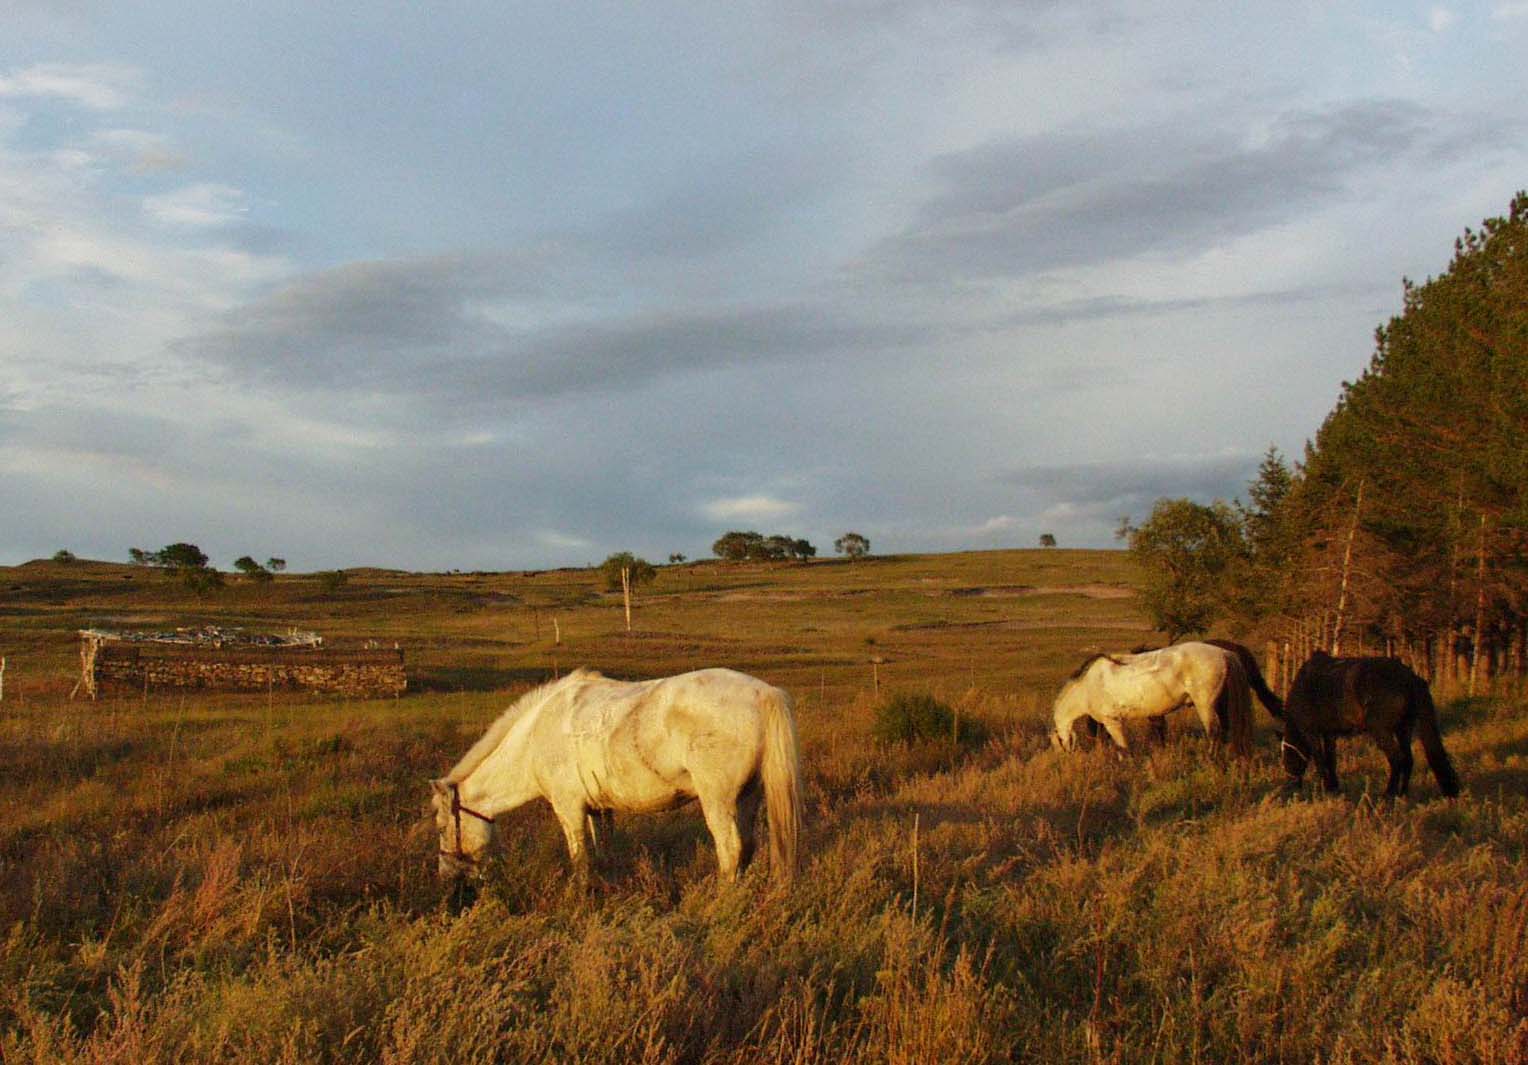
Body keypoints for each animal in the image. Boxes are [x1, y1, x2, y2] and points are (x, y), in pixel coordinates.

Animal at [430, 669, 806, 886]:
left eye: (441, 826)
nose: (446, 876)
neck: (536, 734)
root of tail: (764, 692)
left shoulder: (569, 809)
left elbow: (580, 861)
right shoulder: (599, 809)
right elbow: (603, 852)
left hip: (718, 800)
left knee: (730, 850)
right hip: (748, 796)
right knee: (748, 848)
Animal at [1051, 638, 1252, 754]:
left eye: (1058, 745)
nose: (1066, 762)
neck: (1087, 687)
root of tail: (1223, 652)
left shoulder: (1112, 722)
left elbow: (1123, 749)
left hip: (1205, 705)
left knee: (1214, 733)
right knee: (1226, 729)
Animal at [1277, 647, 1454, 794]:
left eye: (1286, 755)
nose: (1290, 785)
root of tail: (1409, 677)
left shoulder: (1311, 732)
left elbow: (1320, 760)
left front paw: (1326, 788)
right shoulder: (1329, 733)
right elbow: (1331, 759)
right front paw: (1334, 788)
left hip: (1381, 731)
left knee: (1397, 758)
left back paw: (1388, 795)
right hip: (1403, 728)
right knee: (1408, 759)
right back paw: (1402, 793)